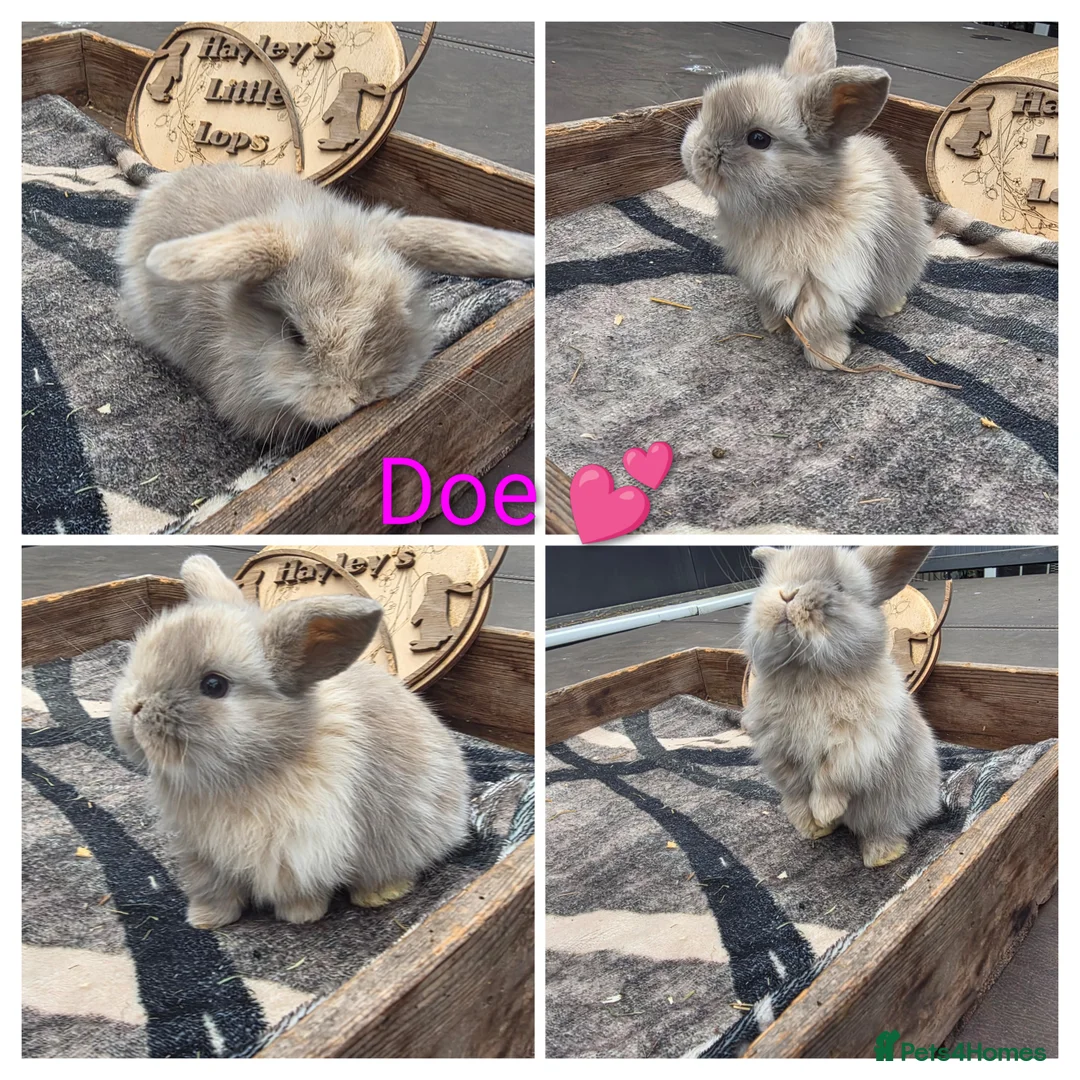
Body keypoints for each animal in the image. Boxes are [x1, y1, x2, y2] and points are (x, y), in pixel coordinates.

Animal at [109, 555, 470, 928]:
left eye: (214, 685)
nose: (134, 708)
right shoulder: (203, 855)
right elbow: (216, 893)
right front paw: (204, 920)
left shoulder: (299, 852)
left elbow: (300, 890)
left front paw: (301, 916)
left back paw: (378, 895)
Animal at [681, 21, 932, 371]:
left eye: (758, 139)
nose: (695, 158)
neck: (791, 204)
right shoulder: (761, 279)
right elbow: (772, 306)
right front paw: (771, 327)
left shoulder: (829, 284)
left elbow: (815, 323)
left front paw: (829, 359)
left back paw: (890, 308)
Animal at [740, 545, 942, 868]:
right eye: (771, 581)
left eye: (839, 588)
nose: (787, 594)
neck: (806, 671)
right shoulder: (777, 749)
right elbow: (795, 788)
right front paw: (808, 822)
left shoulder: (855, 745)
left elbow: (830, 778)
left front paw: (823, 812)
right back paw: (823, 831)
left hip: (889, 808)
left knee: (885, 829)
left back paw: (882, 856)